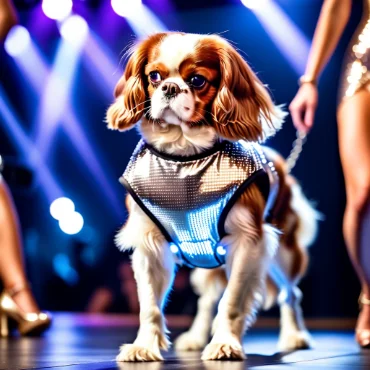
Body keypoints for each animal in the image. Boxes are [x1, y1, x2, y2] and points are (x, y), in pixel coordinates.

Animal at [106, 31, 318, 362]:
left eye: (197, 80)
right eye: (154, 76)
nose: (169, 88)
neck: (184, 157)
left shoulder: (249, 241)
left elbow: (232, 301)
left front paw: (225, 343)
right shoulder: (149, 243)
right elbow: (150, 305)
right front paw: (144, 346)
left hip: (284, 253)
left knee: (290, 293)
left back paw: (294, 336)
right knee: (206, 301)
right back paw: (194, 337)